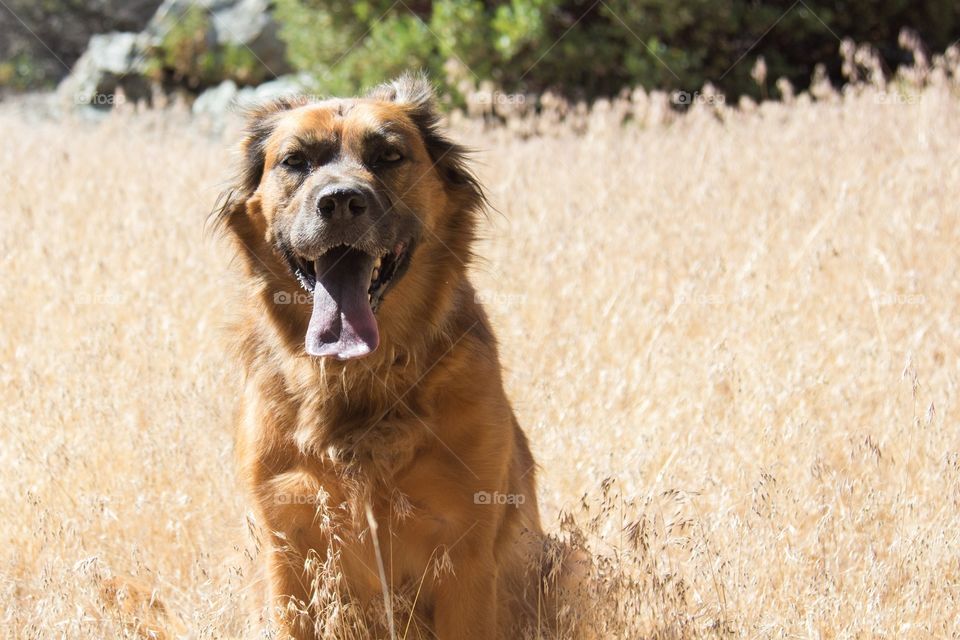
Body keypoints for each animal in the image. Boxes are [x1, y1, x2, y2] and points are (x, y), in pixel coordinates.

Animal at [216, 75, 568, 640]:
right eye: (295, 161)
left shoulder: (466, 555)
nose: (340, 201)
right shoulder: (287, 553)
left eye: (389, 156)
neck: (358, 383)